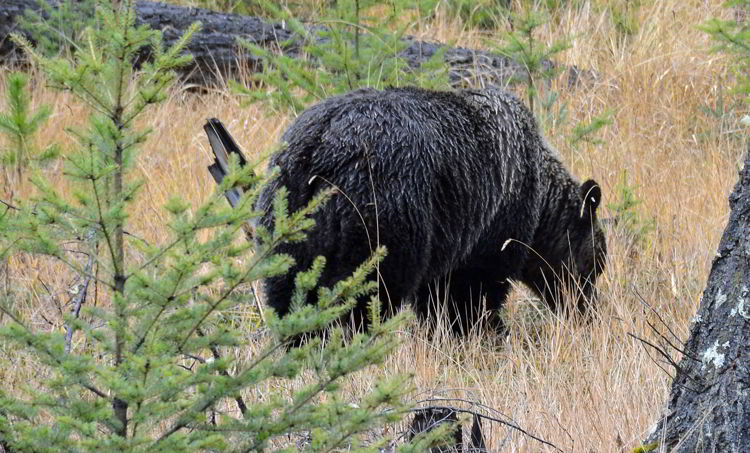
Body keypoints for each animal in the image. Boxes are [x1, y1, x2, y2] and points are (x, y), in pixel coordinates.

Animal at [256, 85, 608, 334]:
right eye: (596, 265)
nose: (587, 312)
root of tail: (317, 149)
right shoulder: (492, 219)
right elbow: (473, 289)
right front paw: (486, 331)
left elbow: (439, 294)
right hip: (381, 212)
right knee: (371, 290)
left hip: (285, 214)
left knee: (287, 290)